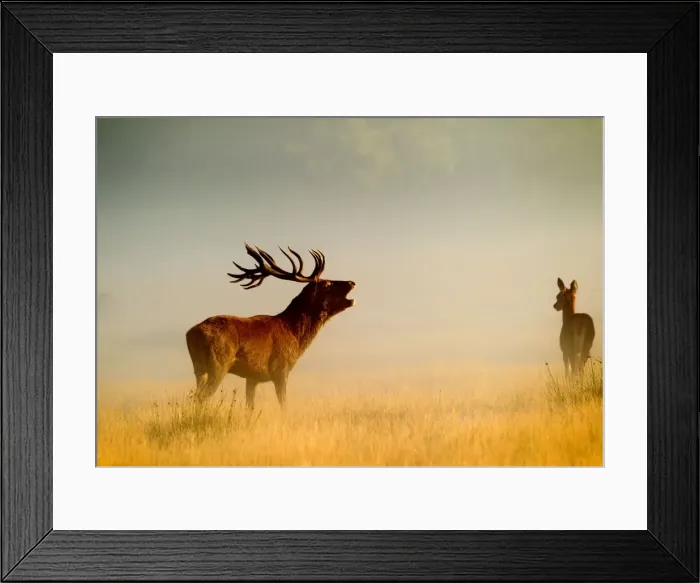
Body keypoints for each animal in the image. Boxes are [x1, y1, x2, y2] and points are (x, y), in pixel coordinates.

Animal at [185, 243, 355, 410]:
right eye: (327, 284)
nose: (351, 282)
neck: (295, 335)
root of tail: (192, 334)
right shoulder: (281, 369)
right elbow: (284, 405)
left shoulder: (252, 377)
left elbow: (250, 407)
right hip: (219, 364)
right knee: (201, 397)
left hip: (199, 368)